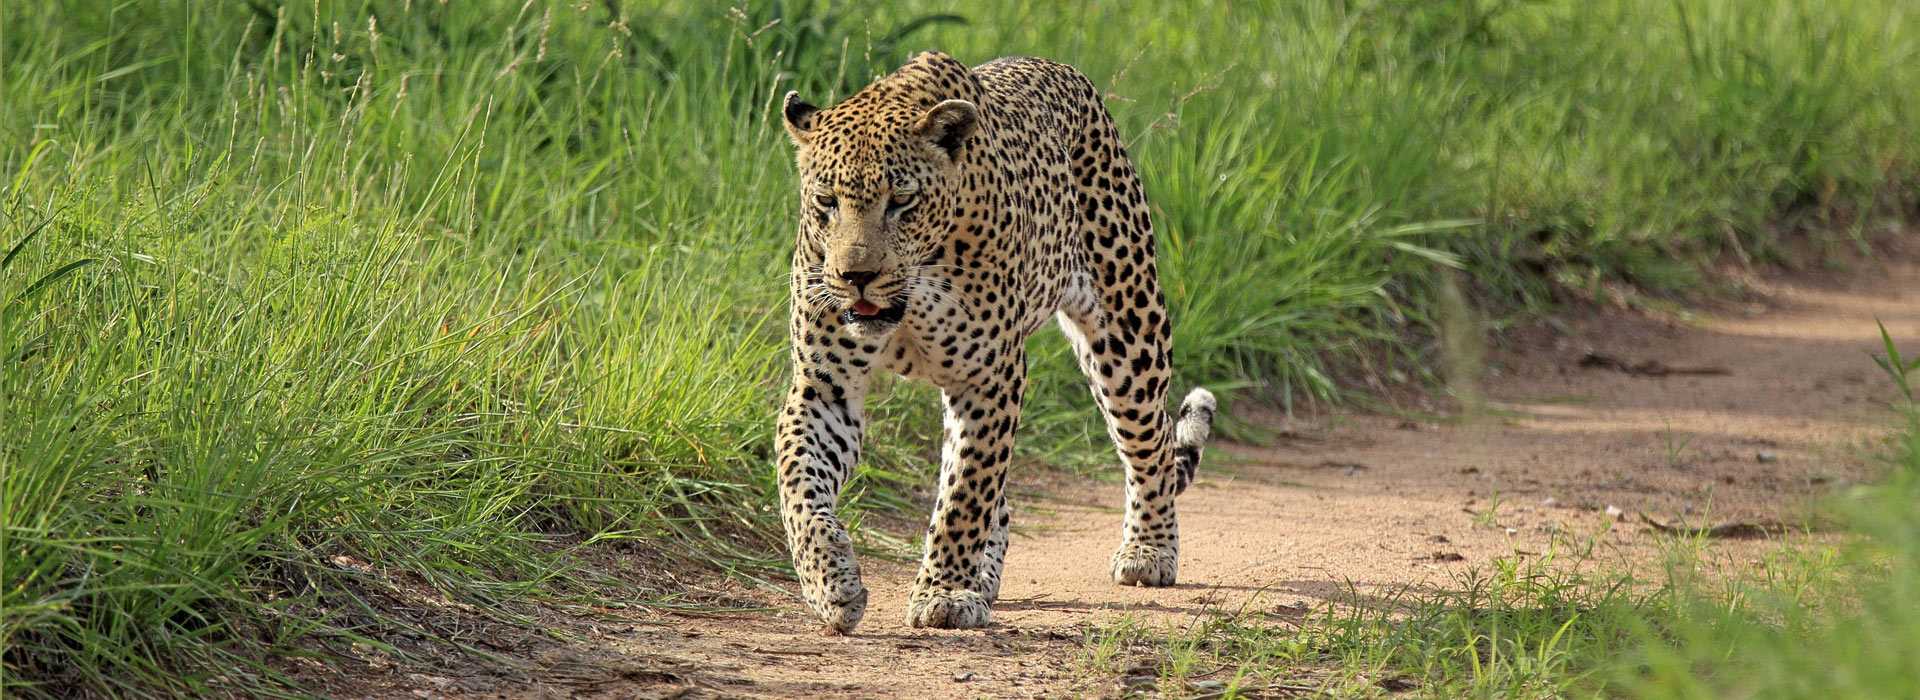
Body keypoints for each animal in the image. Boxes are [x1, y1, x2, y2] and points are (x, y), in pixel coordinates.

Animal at [768, 51, 1205, 632]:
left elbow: (965, 494)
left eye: (901, 201)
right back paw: (984, 578)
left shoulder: (990, 376)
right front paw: (830, 581)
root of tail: (1064, 70)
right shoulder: (825, 385)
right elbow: (799, 481)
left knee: (1150, 446)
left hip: (1129, 336)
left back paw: (1148, 549)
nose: (855, 275)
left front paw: (945, 593)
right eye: (826, 201)